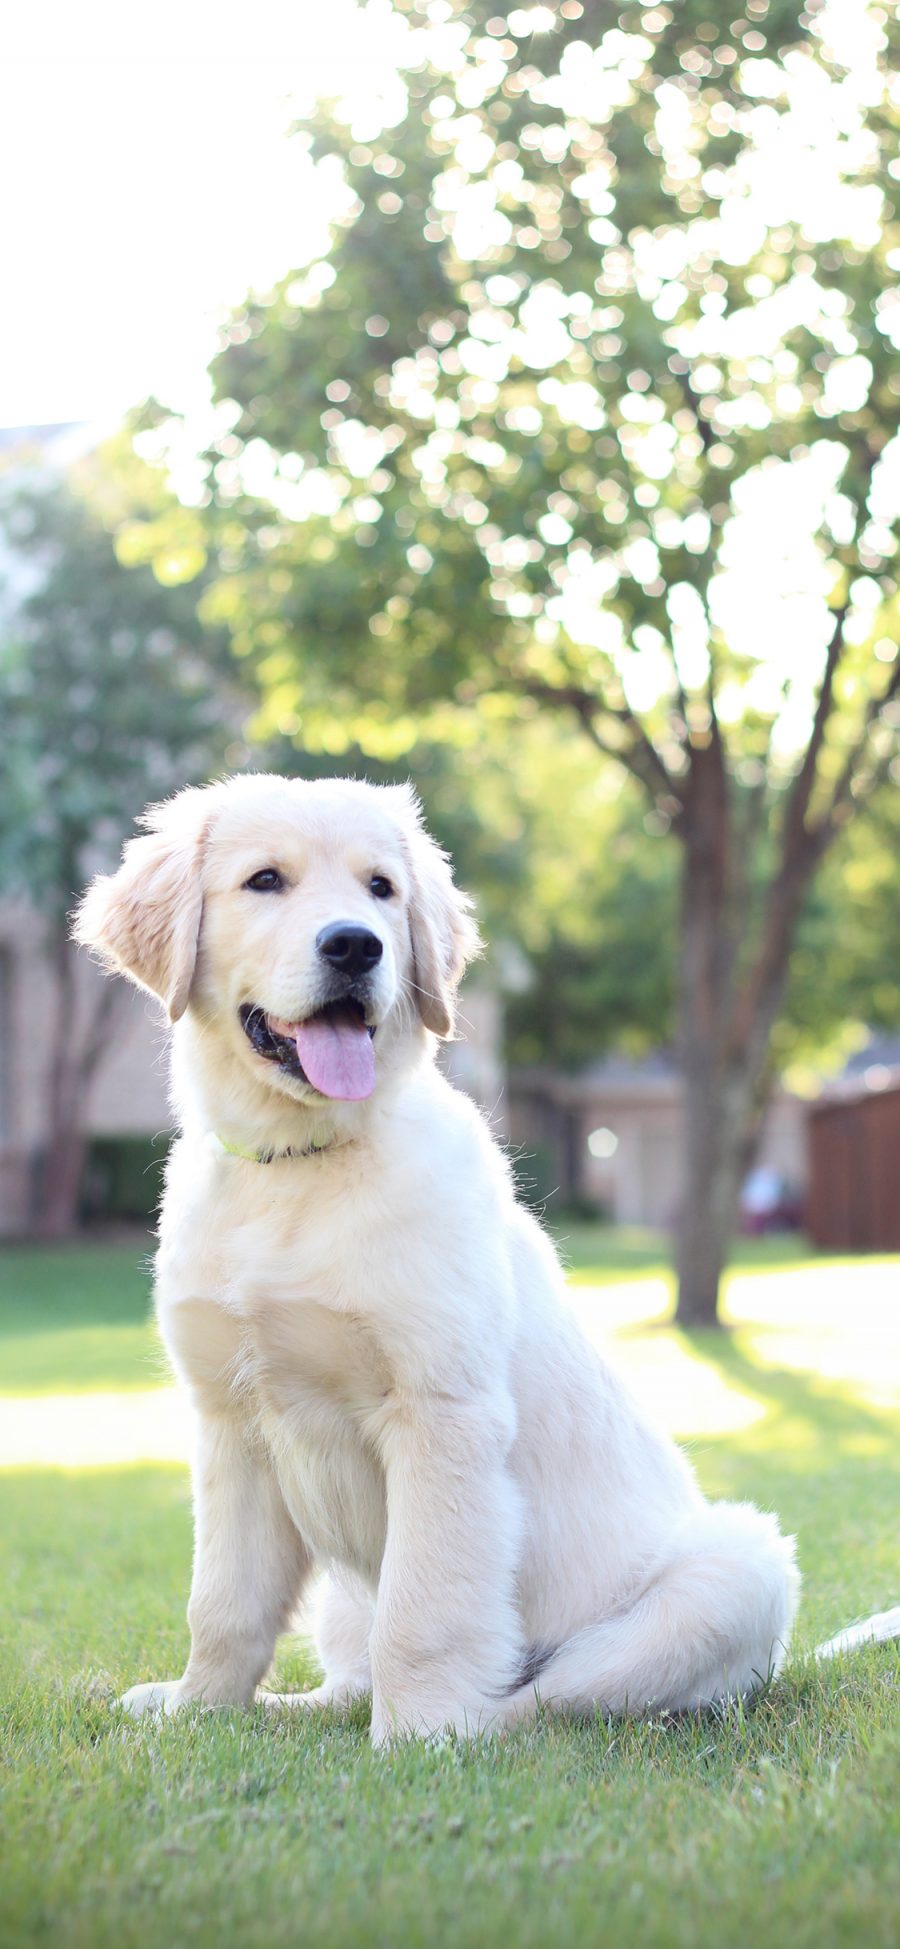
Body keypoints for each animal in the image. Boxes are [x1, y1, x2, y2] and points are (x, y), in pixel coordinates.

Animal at [74, 767, 798, 1746]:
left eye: (382, 888)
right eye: (265, 880)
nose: (355, 945)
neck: (300, 1165)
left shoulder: (441, 1412)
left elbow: (421, 1611)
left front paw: (419, 1738)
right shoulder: (231, 1423)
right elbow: (222, 1601)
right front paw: (199, 1710)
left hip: (737, 1568)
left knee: (559, 1691)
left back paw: (477, 1717)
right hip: (343, 1589)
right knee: (350, 1667)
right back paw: (284, 1706)